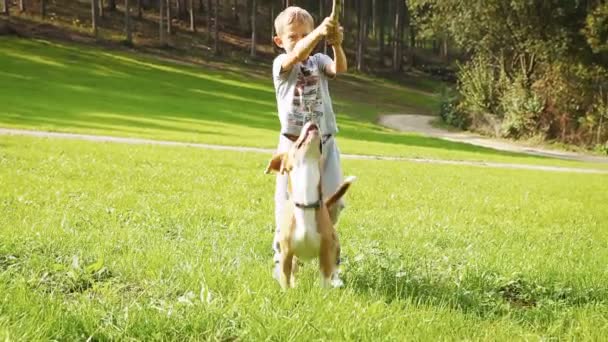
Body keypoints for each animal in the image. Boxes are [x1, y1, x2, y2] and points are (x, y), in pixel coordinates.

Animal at [264, 121, 354, 288]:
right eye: (295, 142)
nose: (312, 122)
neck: (306, 202)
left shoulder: (325, 253)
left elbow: (324, 281)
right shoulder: (286, 254)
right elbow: (286, 280)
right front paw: (288, 290)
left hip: (335, 249)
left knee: (335, 266)